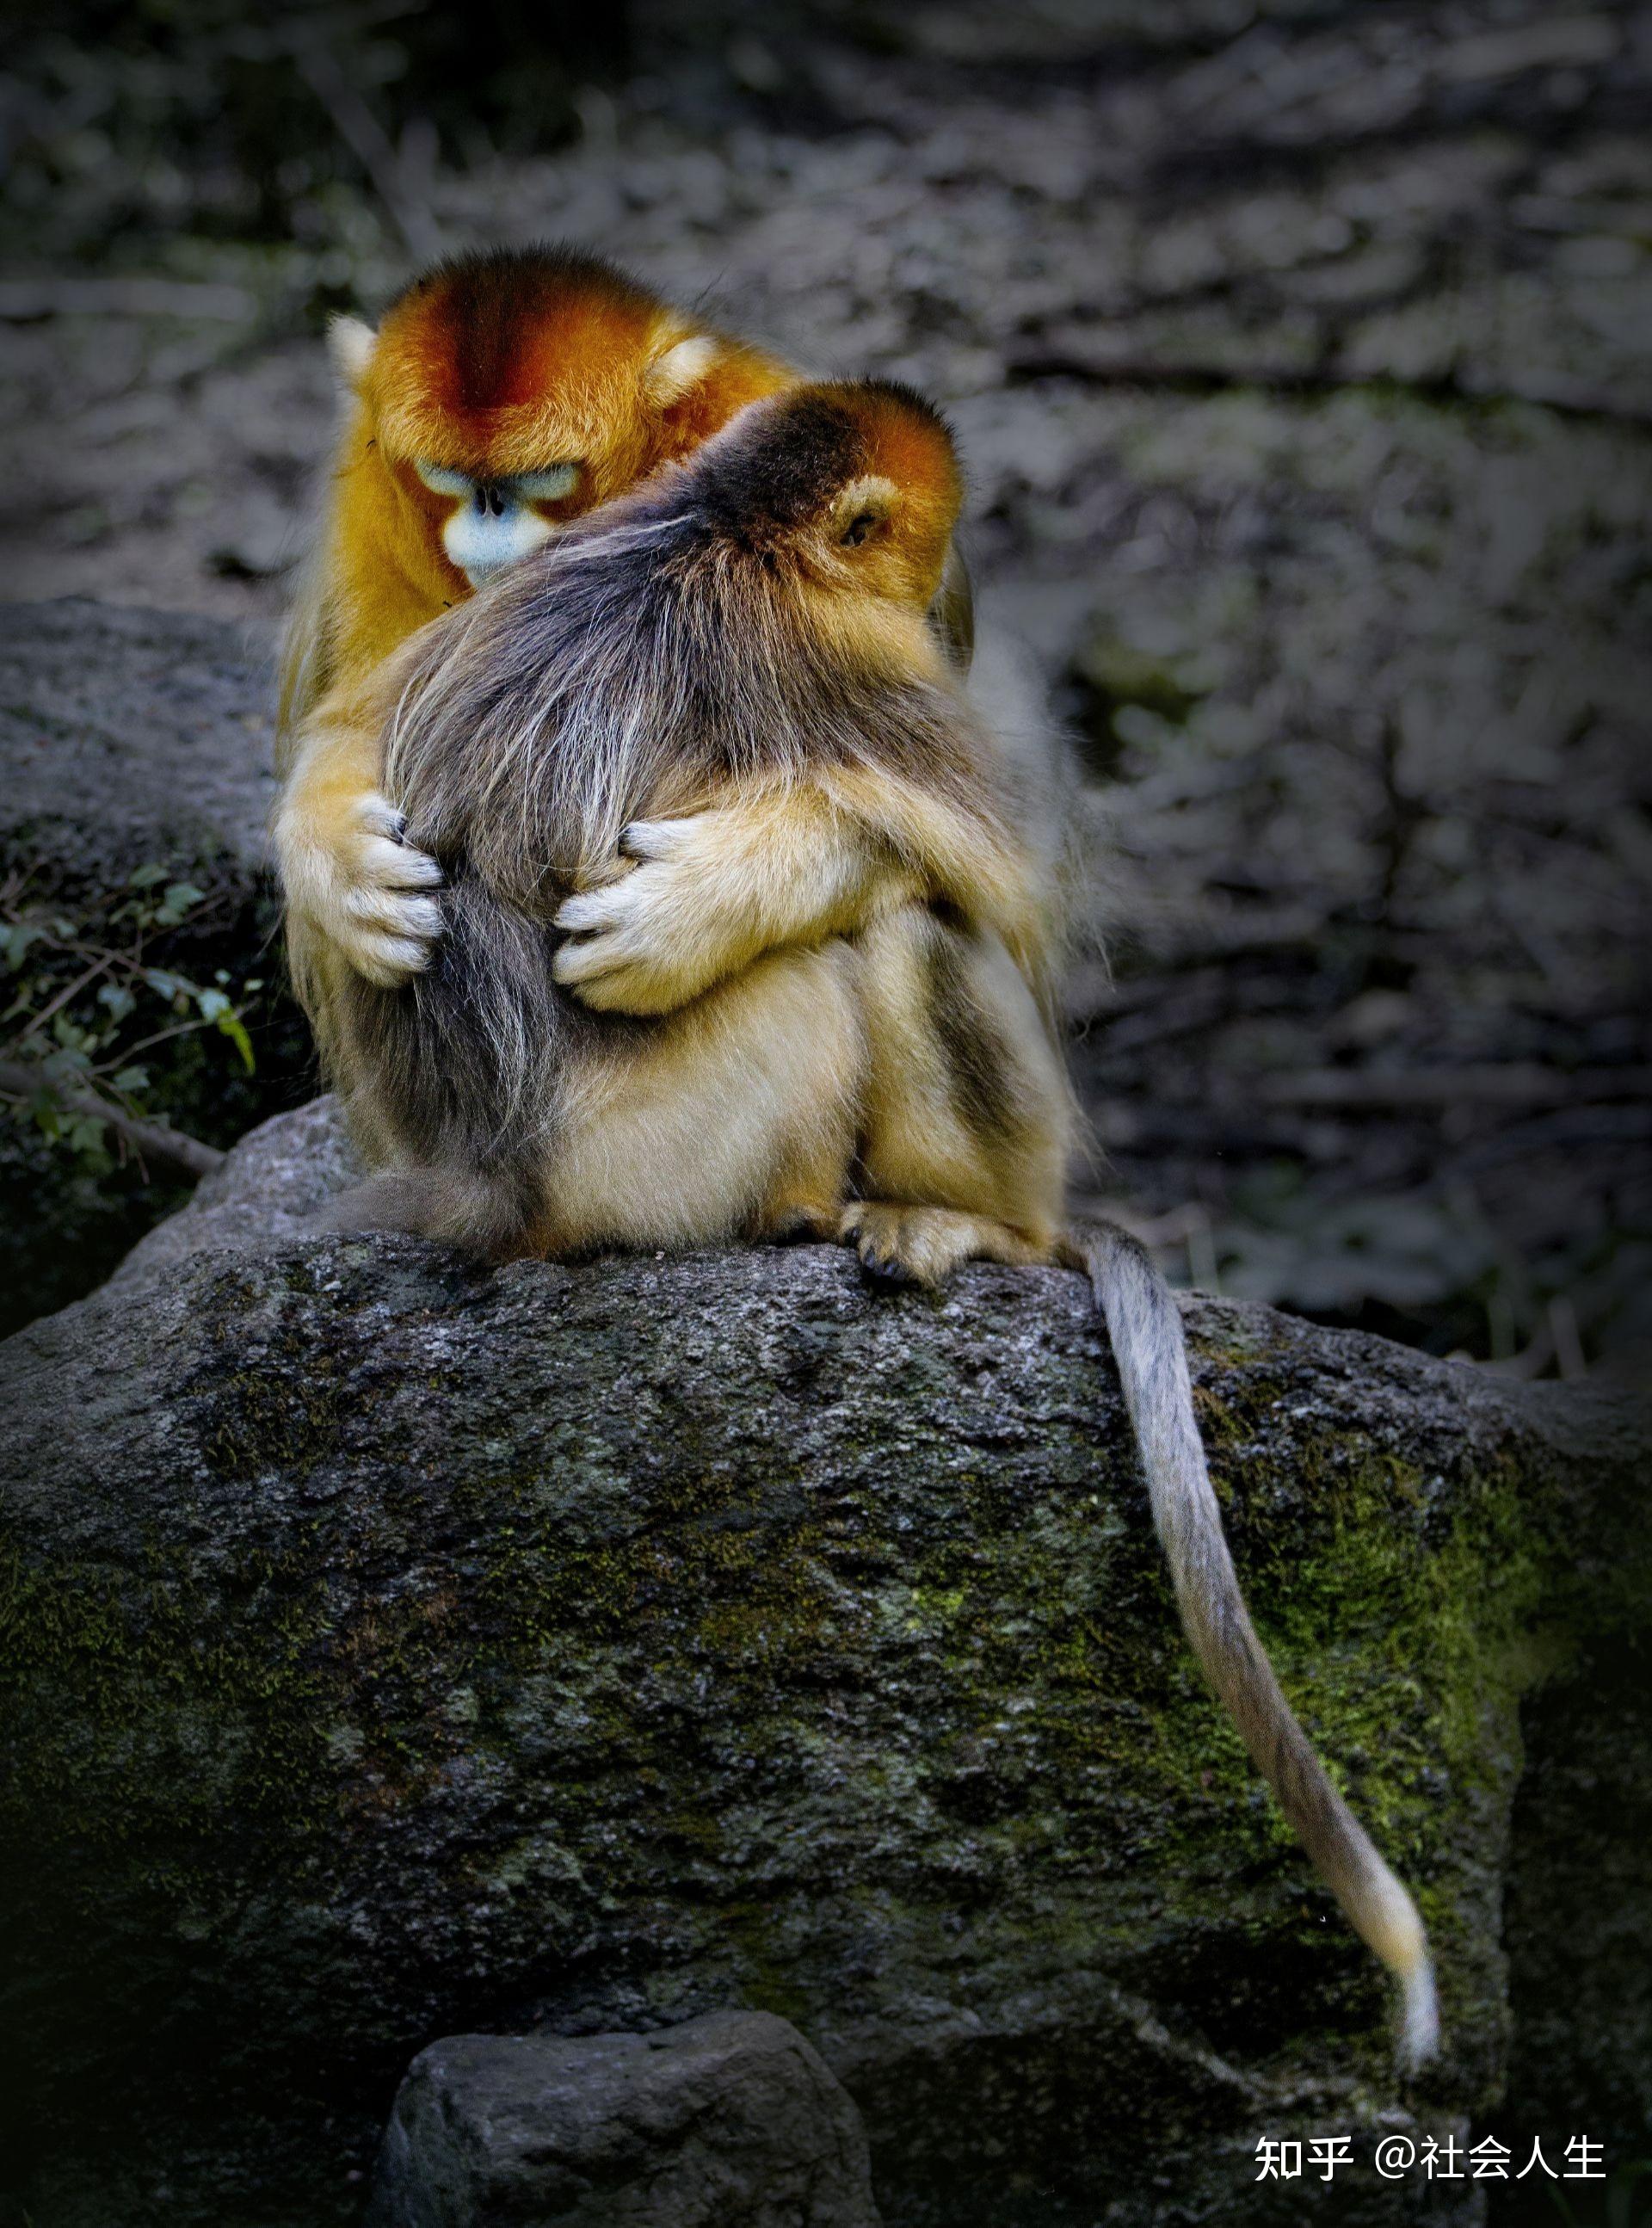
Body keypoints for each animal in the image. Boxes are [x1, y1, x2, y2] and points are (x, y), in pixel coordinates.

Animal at [305, 373, 1442, 2058]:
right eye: (918, 547)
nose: (955, 600)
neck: (713, 521)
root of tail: (491, 1186)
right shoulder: (862, 664)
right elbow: (992, 881)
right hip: (660, 1150)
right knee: (899, 925)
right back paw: (978, 1224)